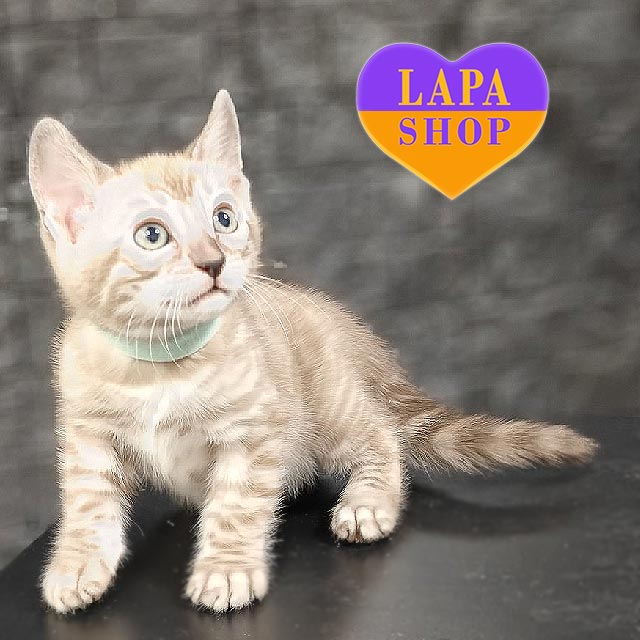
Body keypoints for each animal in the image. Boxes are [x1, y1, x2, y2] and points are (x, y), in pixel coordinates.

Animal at [28, 90, 597, 614]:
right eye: (152, 235)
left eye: (224, 219)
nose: (214, 261)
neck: (160, 367)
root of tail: (339, 323)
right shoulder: (88, 440)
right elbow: (86, 506)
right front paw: (76, 566)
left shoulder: (252, 433)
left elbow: (236, 507)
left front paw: (227, 569)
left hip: (329, 412)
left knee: (381, 435)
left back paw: (367, 503)